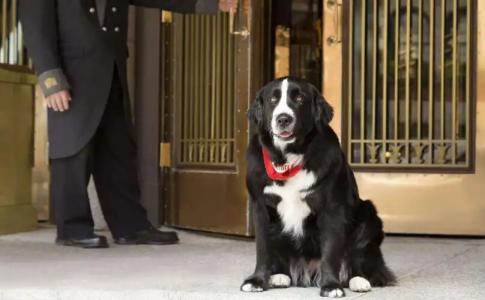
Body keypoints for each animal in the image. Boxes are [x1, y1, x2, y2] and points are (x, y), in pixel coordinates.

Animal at [240, 78, 396, 298]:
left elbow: (330, 251)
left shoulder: (331, 207)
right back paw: (279, 275)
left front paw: (331, 285)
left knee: (358, 257)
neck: (289, 158)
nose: (283, 119)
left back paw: (359, 280)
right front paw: (257, 280)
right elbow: (263, 248)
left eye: (299, 98)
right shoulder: (260, 207)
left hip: (368, 215)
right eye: (273, 99)